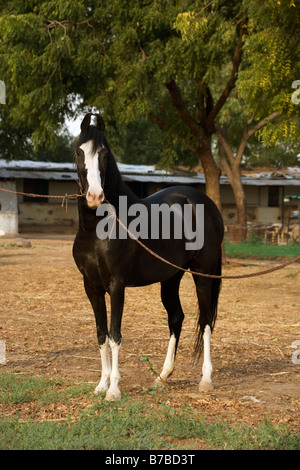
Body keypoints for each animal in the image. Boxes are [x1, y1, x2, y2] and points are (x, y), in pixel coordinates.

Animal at [72, 113, 223, 400]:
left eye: (105, 154)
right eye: (78, 151)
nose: (95, 196)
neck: (98, 229)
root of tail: (204, 202)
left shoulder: (116, 286)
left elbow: (115, 334)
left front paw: (114, 390)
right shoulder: (91, 287)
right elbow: (101, 334)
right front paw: (101, 385)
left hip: (203, 274)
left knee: (207, 320)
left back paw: (207, 380)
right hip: (171, 277)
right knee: (177, 318)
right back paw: (162, 377)